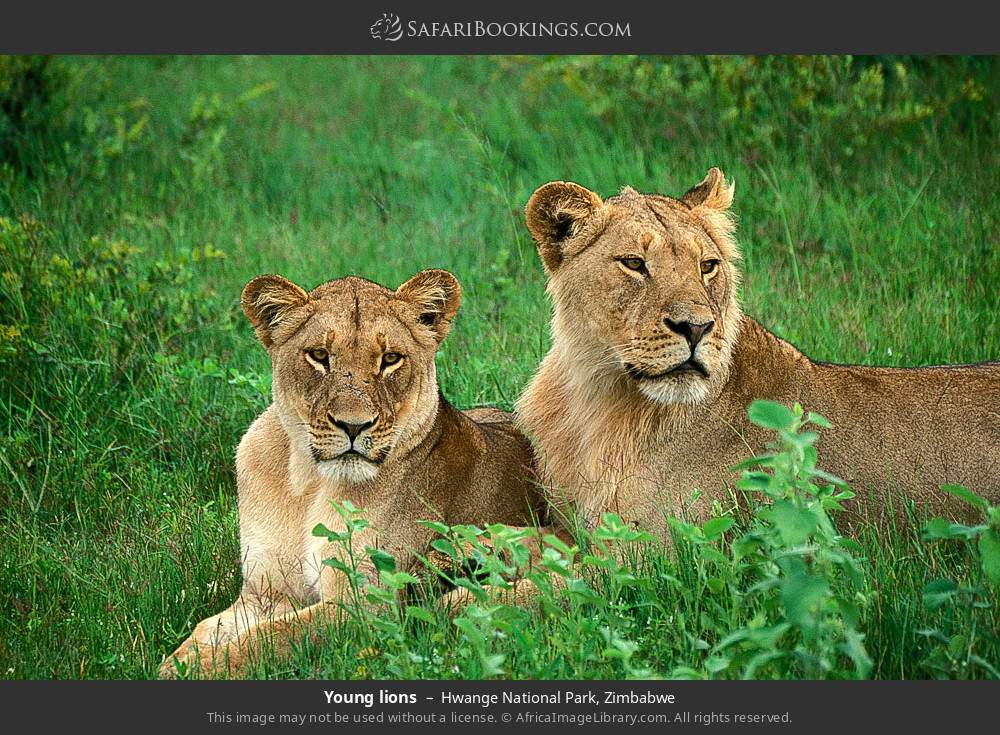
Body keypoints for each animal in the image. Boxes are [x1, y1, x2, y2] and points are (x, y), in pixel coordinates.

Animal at [159, 269, 542, 677]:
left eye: (390, 359)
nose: (354, 426)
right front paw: (180, 658)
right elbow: (206, 629)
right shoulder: (266, 592)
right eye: (319, 356)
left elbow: (270, 638)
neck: (307, 481)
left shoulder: (365, 607)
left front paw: (193, 669)